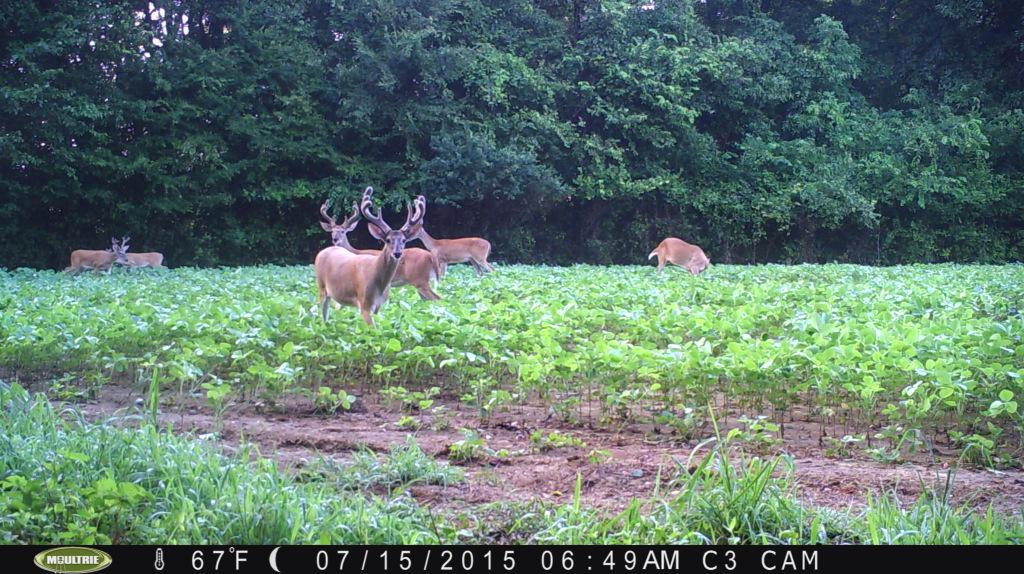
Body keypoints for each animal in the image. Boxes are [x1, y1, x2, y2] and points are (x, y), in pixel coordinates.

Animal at [314, 187, 426, 327]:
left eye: (404, 240)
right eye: (387, 240)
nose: (397, 253)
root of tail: (322, 252)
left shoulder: (378, 306)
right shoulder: (364, 303)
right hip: (322, 287)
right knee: (323, 315)